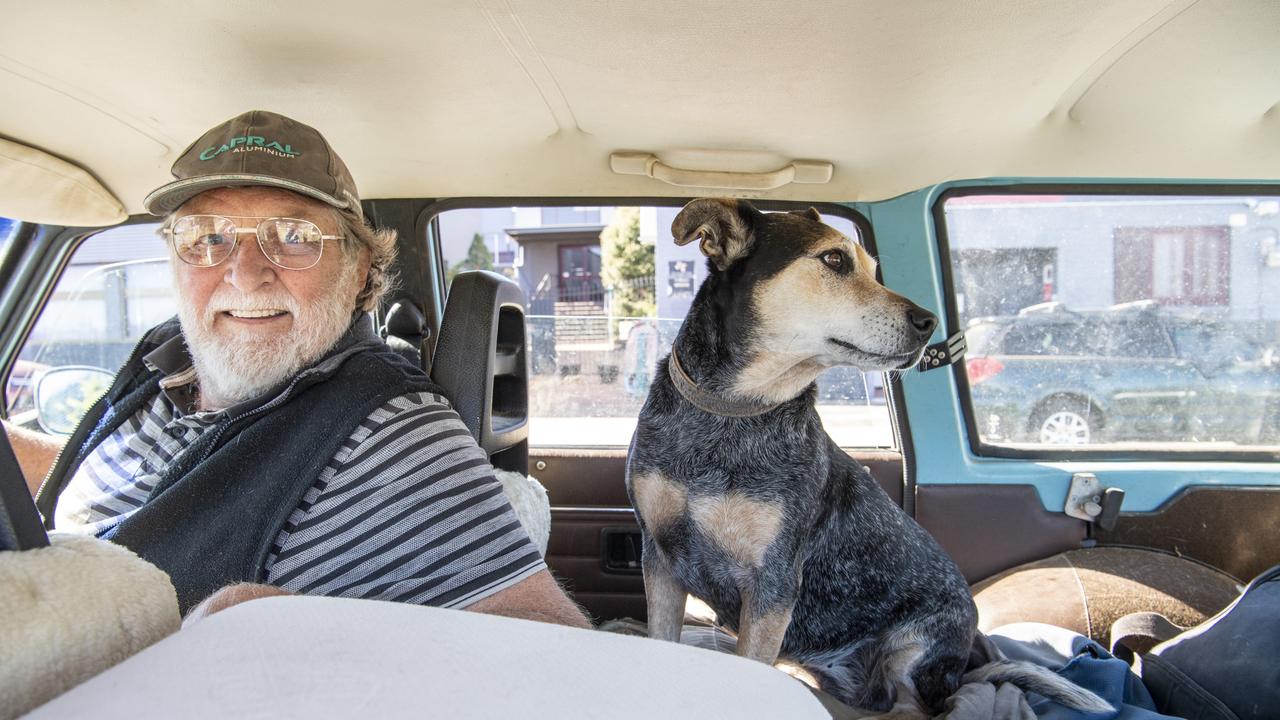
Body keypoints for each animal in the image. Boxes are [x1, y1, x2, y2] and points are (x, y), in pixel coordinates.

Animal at [624, 196, 1105, 712]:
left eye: (875, 271)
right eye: (834, 260)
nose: (929, 322)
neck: (730, 414)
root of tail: (963, 668)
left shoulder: (772, 584)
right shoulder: (660, 560)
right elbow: (661, 641)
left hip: (913, 652)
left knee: (909, 705)